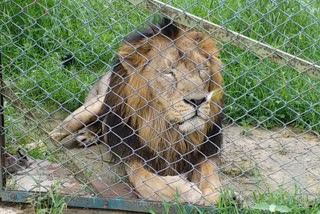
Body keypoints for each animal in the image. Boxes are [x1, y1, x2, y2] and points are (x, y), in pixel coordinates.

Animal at [50, 18, 225, 206]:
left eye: (202, 70)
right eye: (169, 73)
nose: (198, 101)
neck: (167, 129)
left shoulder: (205, 152)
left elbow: (214, 189)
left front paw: (207, 195)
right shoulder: (131, 154)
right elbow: (147, 182)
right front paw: (187, 190)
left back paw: (89, 135)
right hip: (92, 107)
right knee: (55, 132)